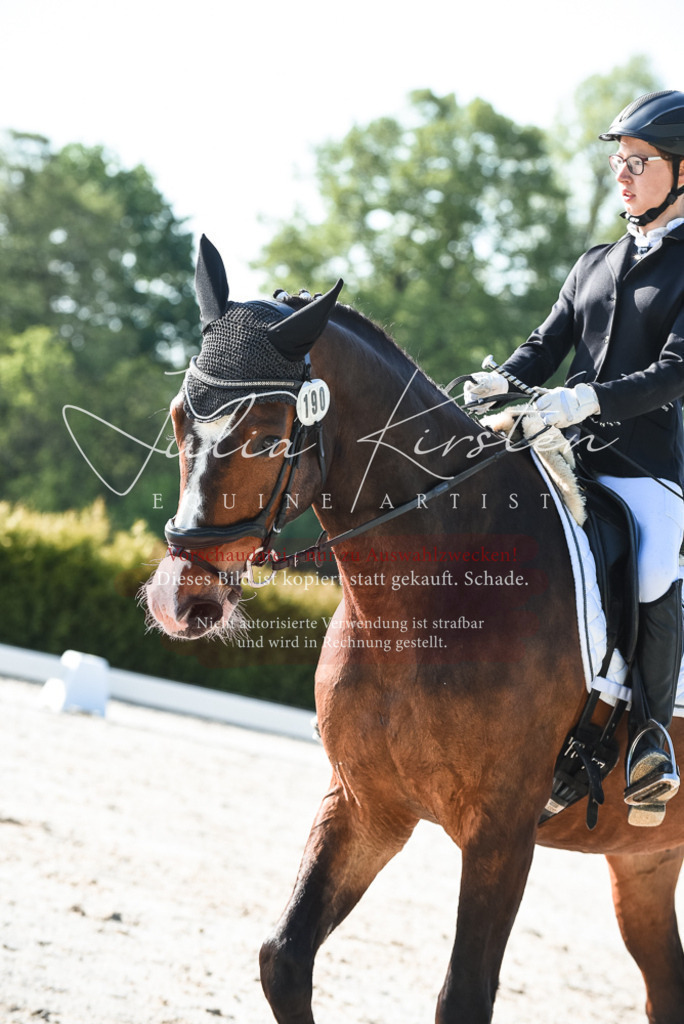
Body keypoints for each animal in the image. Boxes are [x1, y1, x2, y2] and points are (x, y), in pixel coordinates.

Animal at [144, 236, 684, 1024]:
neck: (431, 592)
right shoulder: (365, 803)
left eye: (267, 437)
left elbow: (463, 995)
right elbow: (284, 959)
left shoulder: (500, 834)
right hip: (644, 858)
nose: (177, 599)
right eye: (182, 416)